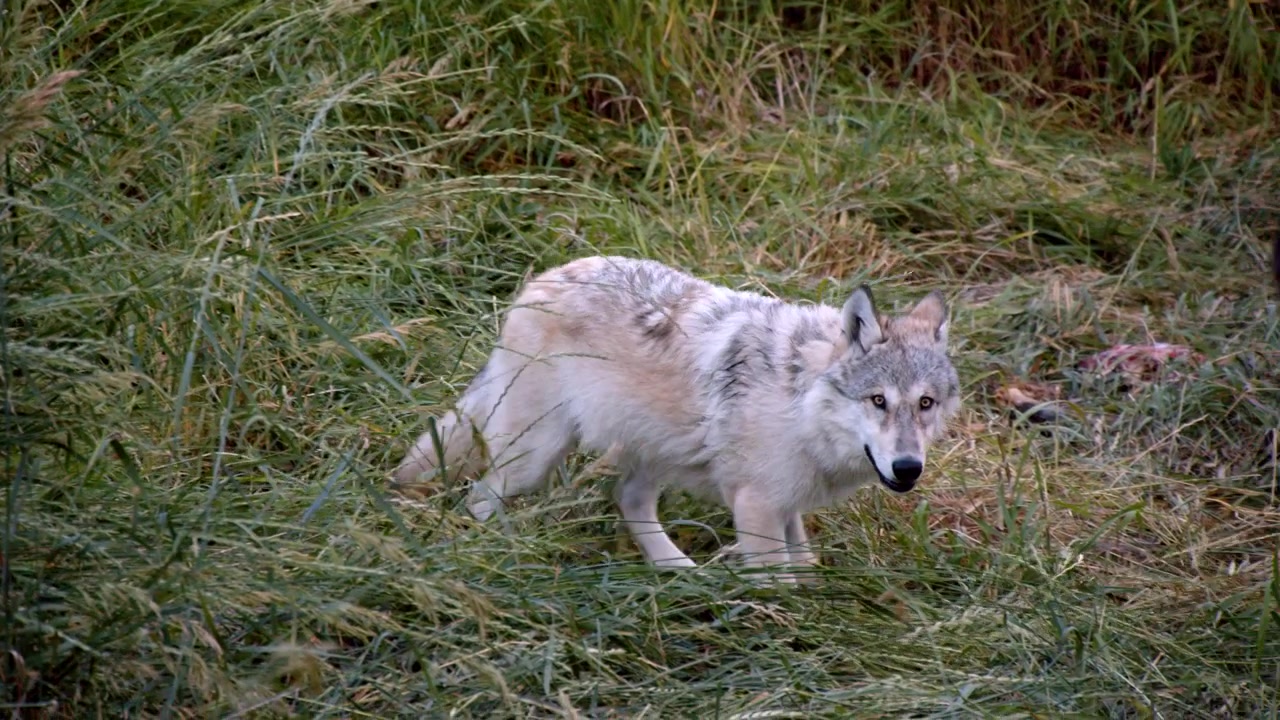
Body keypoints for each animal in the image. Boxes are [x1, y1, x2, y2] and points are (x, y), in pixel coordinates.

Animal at [392, 256, 960, 580]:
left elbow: (805, 567)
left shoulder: (785, 503)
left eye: (925, 404)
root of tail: (540, 282)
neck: (798, 398)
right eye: (878, 401)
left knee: (626, 499)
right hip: (534, 457)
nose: (908, 468)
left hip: (652, 457)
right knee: (478, 498)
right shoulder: (756, 504)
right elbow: (781, 582)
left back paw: (678, 573)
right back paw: (503, 551)